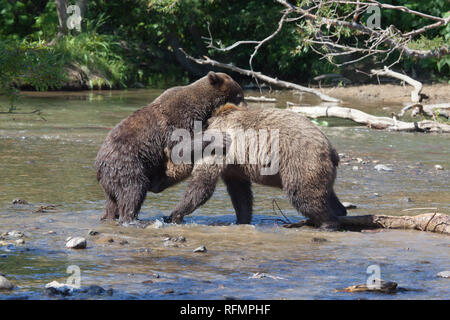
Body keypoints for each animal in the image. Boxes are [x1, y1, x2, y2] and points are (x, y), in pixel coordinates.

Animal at [94, 72, 246, 225]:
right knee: (133, 189)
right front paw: (221, 138)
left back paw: (110, 216)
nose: (246, 107)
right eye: (239, 95)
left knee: (113, 202)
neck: (203, 108)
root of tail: (99, 166)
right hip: (127, 163)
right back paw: (133, 219)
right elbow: (179, 149)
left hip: (112, 180)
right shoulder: (178, 120)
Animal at [165, 105, 348, 228]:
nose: (168, 168)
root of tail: (330, 147)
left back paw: (326, 223)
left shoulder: (221, 147)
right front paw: (242, 219)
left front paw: (175, 214)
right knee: (327, 193)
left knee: (303, 194)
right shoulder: (234, 167)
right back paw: (339, 212)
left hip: (301, 160)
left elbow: (202, 184)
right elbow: (240, 194)